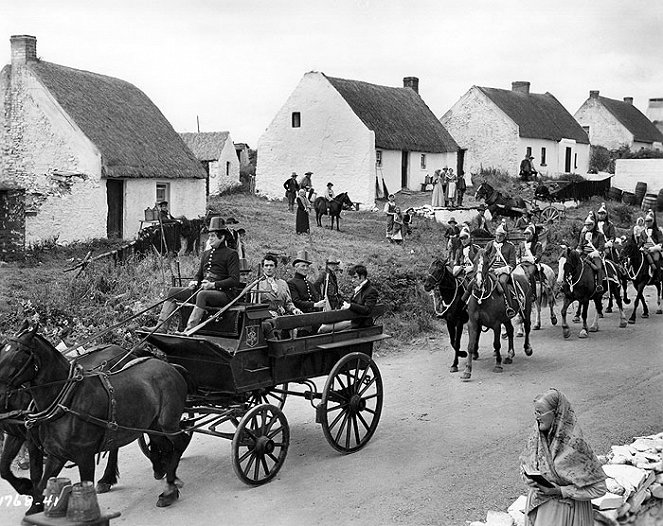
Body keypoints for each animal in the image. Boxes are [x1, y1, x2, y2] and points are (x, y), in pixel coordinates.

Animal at [0, 322, 192, 516]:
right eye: (3, 349)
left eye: (18, 353)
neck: (67, 400)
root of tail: (170, 366)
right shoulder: (53, 453)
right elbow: (27, 477)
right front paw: (32, 497)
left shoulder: (82, 455)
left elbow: (39, 475)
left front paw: (31, 495)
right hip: (151, 425)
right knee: (164, 446)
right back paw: (161, 475)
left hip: (168, 423)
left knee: (180, 442)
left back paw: (168, 485)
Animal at [462, 250, 536, 382]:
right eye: (474, 261)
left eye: (487, 262)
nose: (478, 282)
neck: (482, 298)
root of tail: (523, 278)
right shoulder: (473, 323)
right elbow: (470, 346)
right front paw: (467, 370)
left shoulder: (496, 324)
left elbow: (496, 344)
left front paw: (497, 365)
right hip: (506, 318)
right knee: (510, 330)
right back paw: (510, 355)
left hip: (526, 310)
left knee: (527, 327)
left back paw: (527, 348)